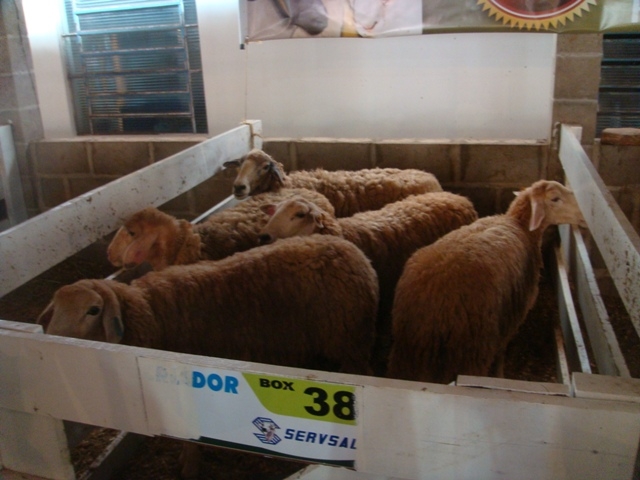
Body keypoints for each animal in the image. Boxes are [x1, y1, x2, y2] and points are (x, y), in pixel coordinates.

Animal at [385, 180, 586, 384]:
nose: (584, 216)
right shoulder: (513, 315)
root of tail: (430, 300)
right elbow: (501, 352)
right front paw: (500, 374)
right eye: (555, 198)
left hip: (407, 354)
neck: (519, 225)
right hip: (472, 349)